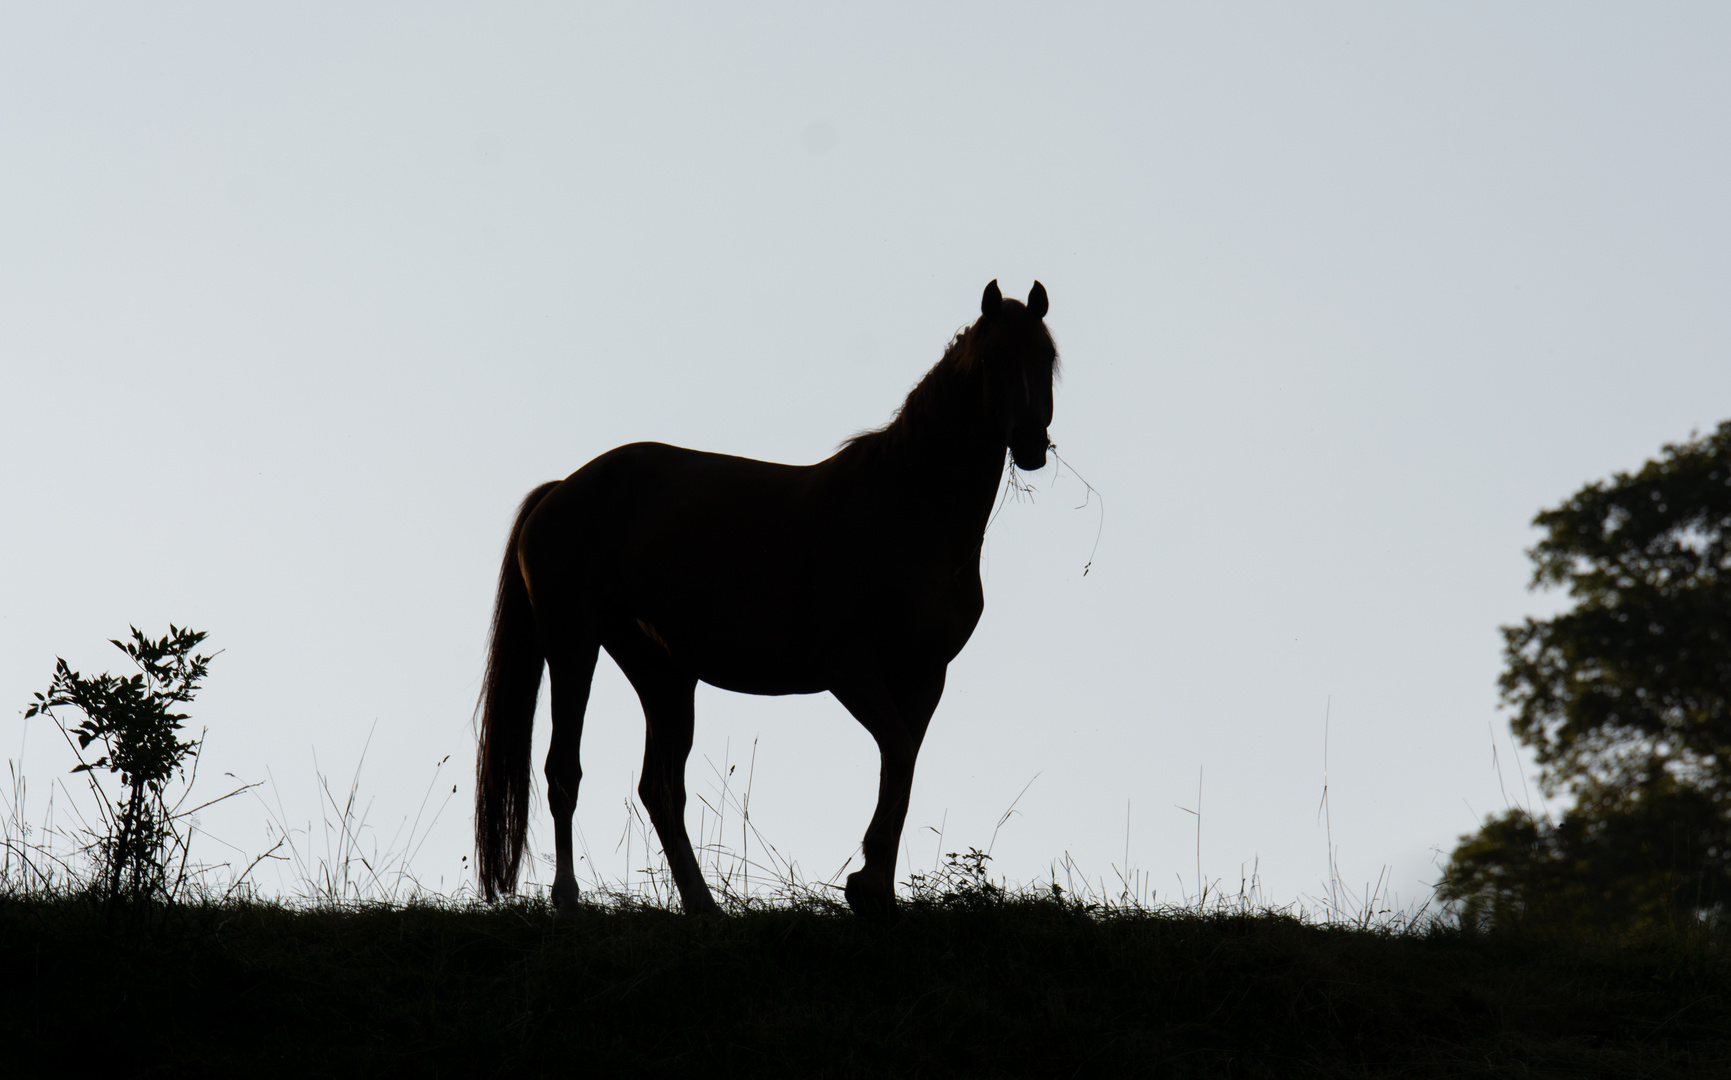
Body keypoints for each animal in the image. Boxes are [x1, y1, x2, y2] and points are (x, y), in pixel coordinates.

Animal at [481, 280, 1059, 920]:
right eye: (990, 361)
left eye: (1046, 359)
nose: (1031, 446)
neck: (906, 508)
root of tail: (563, 489)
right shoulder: (849, 666)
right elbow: (898, 751)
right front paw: (866, 883)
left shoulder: (925, 674)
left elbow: (902, 763)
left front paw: (877, 889)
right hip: (572, 643)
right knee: (565, 771)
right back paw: (568, 900)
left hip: (662, 672)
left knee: (660, 788)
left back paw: (703, 906)